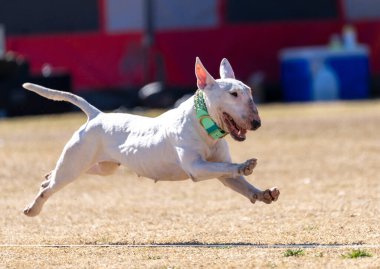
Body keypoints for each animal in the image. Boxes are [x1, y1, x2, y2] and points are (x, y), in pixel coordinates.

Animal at [23, 57, 280, 217]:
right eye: (233, 94)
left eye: (249, 91)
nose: (256, 123)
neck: (202, 124)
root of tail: (96, 115)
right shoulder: (196, 167)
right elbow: (225, 167)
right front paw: (245, 165)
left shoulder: (219, 169)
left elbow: (233, 178)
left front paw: (263, 193)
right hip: (77, 159)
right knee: (54, 185)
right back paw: (33, 207)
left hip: (104, 165)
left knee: (76, 172)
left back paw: (47, 176)